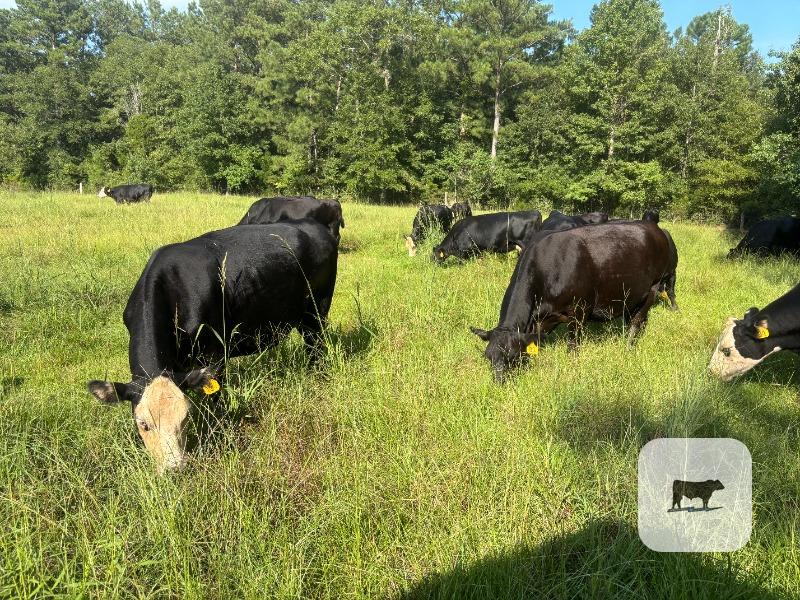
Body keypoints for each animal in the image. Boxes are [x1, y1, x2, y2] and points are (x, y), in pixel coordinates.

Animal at [87, 219, 338, 473]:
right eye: (143, 424)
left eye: (185, 418)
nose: (175, 468)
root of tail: (311, 224)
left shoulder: (216, 351)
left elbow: (214, 399)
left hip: (317, 312)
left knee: (316, 348)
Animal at [471, 221, 675, 381]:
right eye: (488, 356)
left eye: (513, 356)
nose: (499, 383)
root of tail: (654, 228)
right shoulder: (541, 320)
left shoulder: (580, 310)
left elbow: (573, 346)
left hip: (655, 286)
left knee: (637, 320)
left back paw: (628, 347)